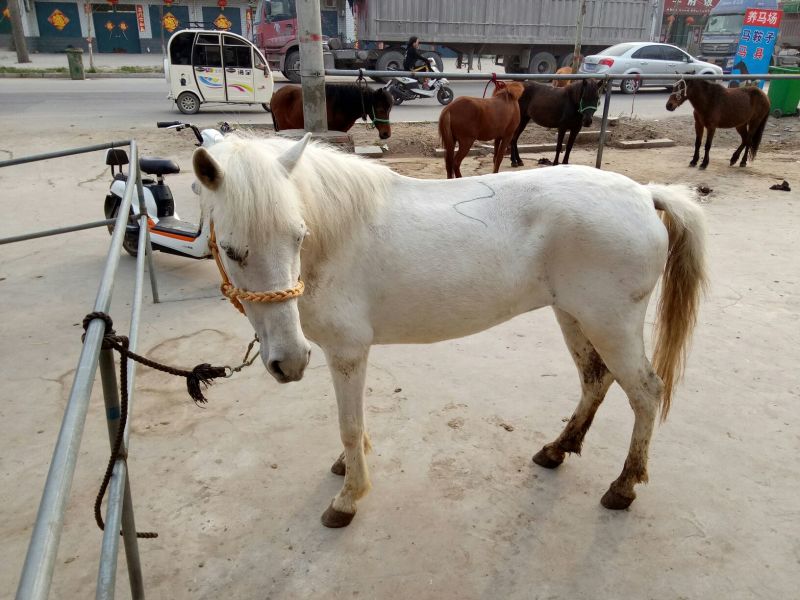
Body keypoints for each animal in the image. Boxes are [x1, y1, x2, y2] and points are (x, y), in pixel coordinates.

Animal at [192, 133, 708, 528]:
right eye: (232, 250)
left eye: (298, 236)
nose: (290, 362)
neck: (335, 239)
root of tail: (644, 194)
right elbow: (354, 426)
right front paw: (349, 466)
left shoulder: (347, 351)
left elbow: (349, 424)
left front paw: (348, 497)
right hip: (575, 316)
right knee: (595, 380)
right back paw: (557, 450)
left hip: (611, 324)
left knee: (645, 392)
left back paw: (623, 486)